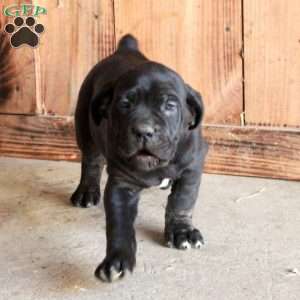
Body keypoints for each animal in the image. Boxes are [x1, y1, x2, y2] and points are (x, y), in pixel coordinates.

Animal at [71, 34, 209, 282]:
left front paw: (181, 232)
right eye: (124, 104)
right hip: (85, 125)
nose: (144, 131)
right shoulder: (121, 185)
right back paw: (86, 192)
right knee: (91, 162)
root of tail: (125, 49)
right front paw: (116, 259)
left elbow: (182, 201)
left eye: (170, 106)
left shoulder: (192, 167)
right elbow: (120, 224)